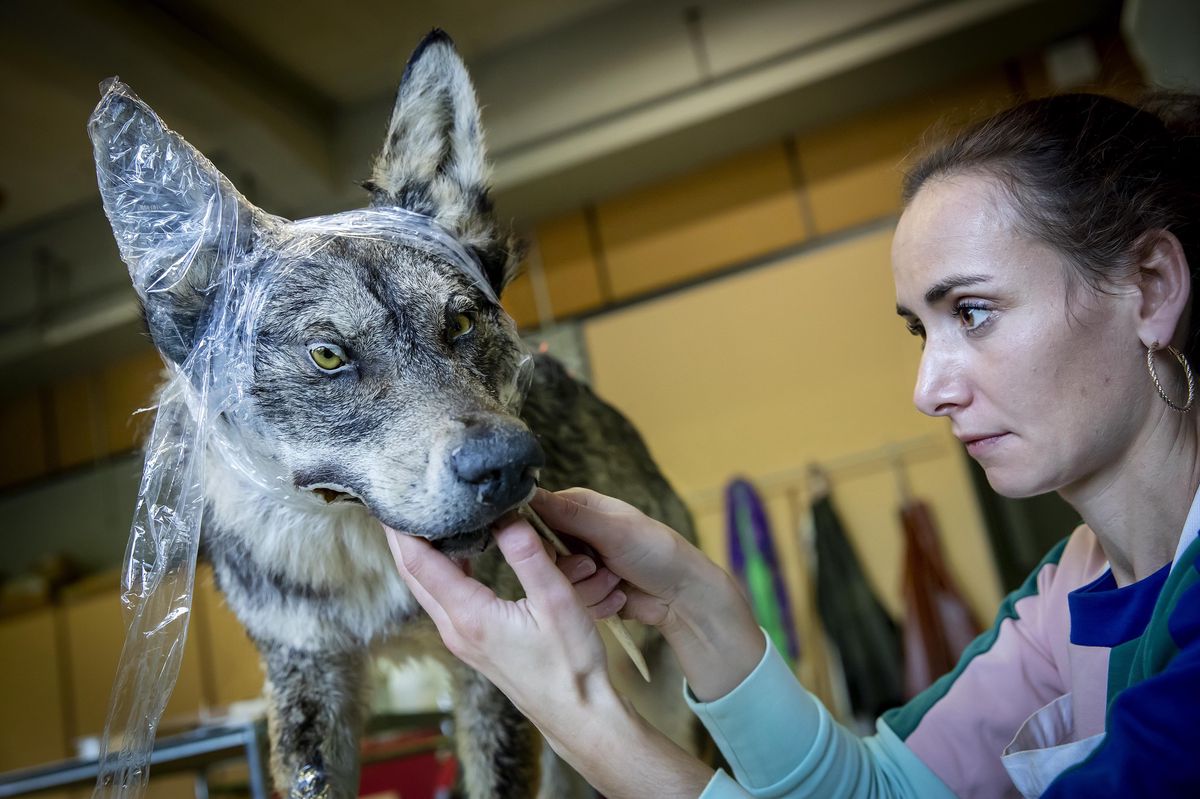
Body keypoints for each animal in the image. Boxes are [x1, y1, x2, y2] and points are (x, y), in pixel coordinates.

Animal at [88, 29, 697, 799]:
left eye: (461, 322)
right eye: (327, 354)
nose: (511, 467)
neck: (354, 542)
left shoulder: (494, 685)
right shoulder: (308, 674)